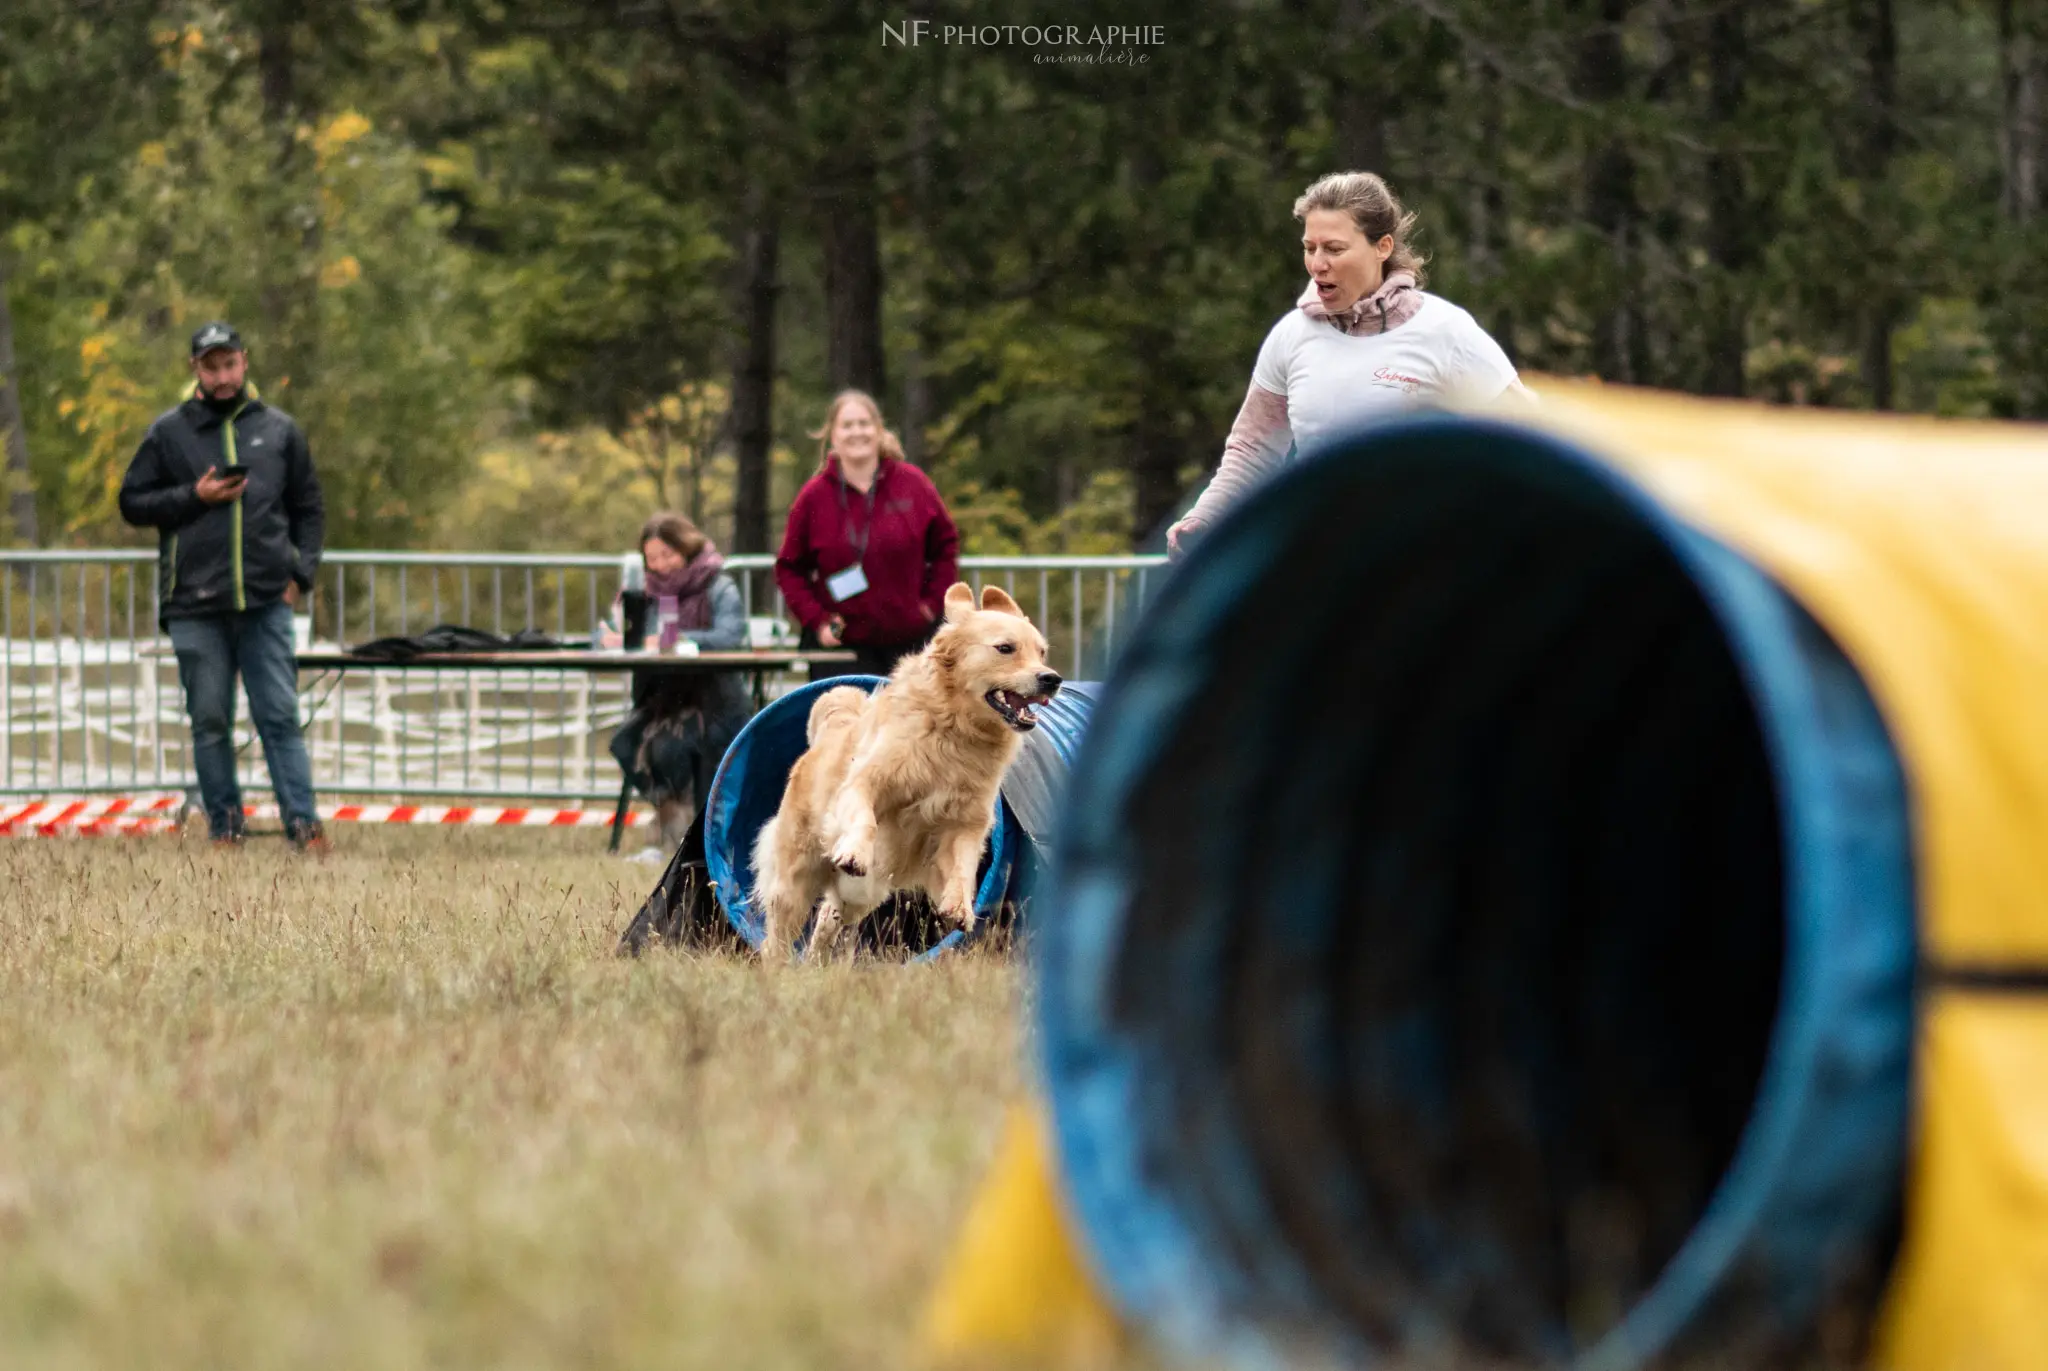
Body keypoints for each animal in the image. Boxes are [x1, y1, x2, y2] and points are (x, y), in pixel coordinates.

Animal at [757, 582, 1073, 959]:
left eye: (1041, 652)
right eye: (1005, 648)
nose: (1051, 679)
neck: (956, 731)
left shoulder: (968, 821)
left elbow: (964, 864)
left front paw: (959, 906)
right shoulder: (865, 783)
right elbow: (865, 819)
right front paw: (855, 852)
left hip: (859, 896)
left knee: (828, 918)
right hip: (796, 879)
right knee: (777, 935)